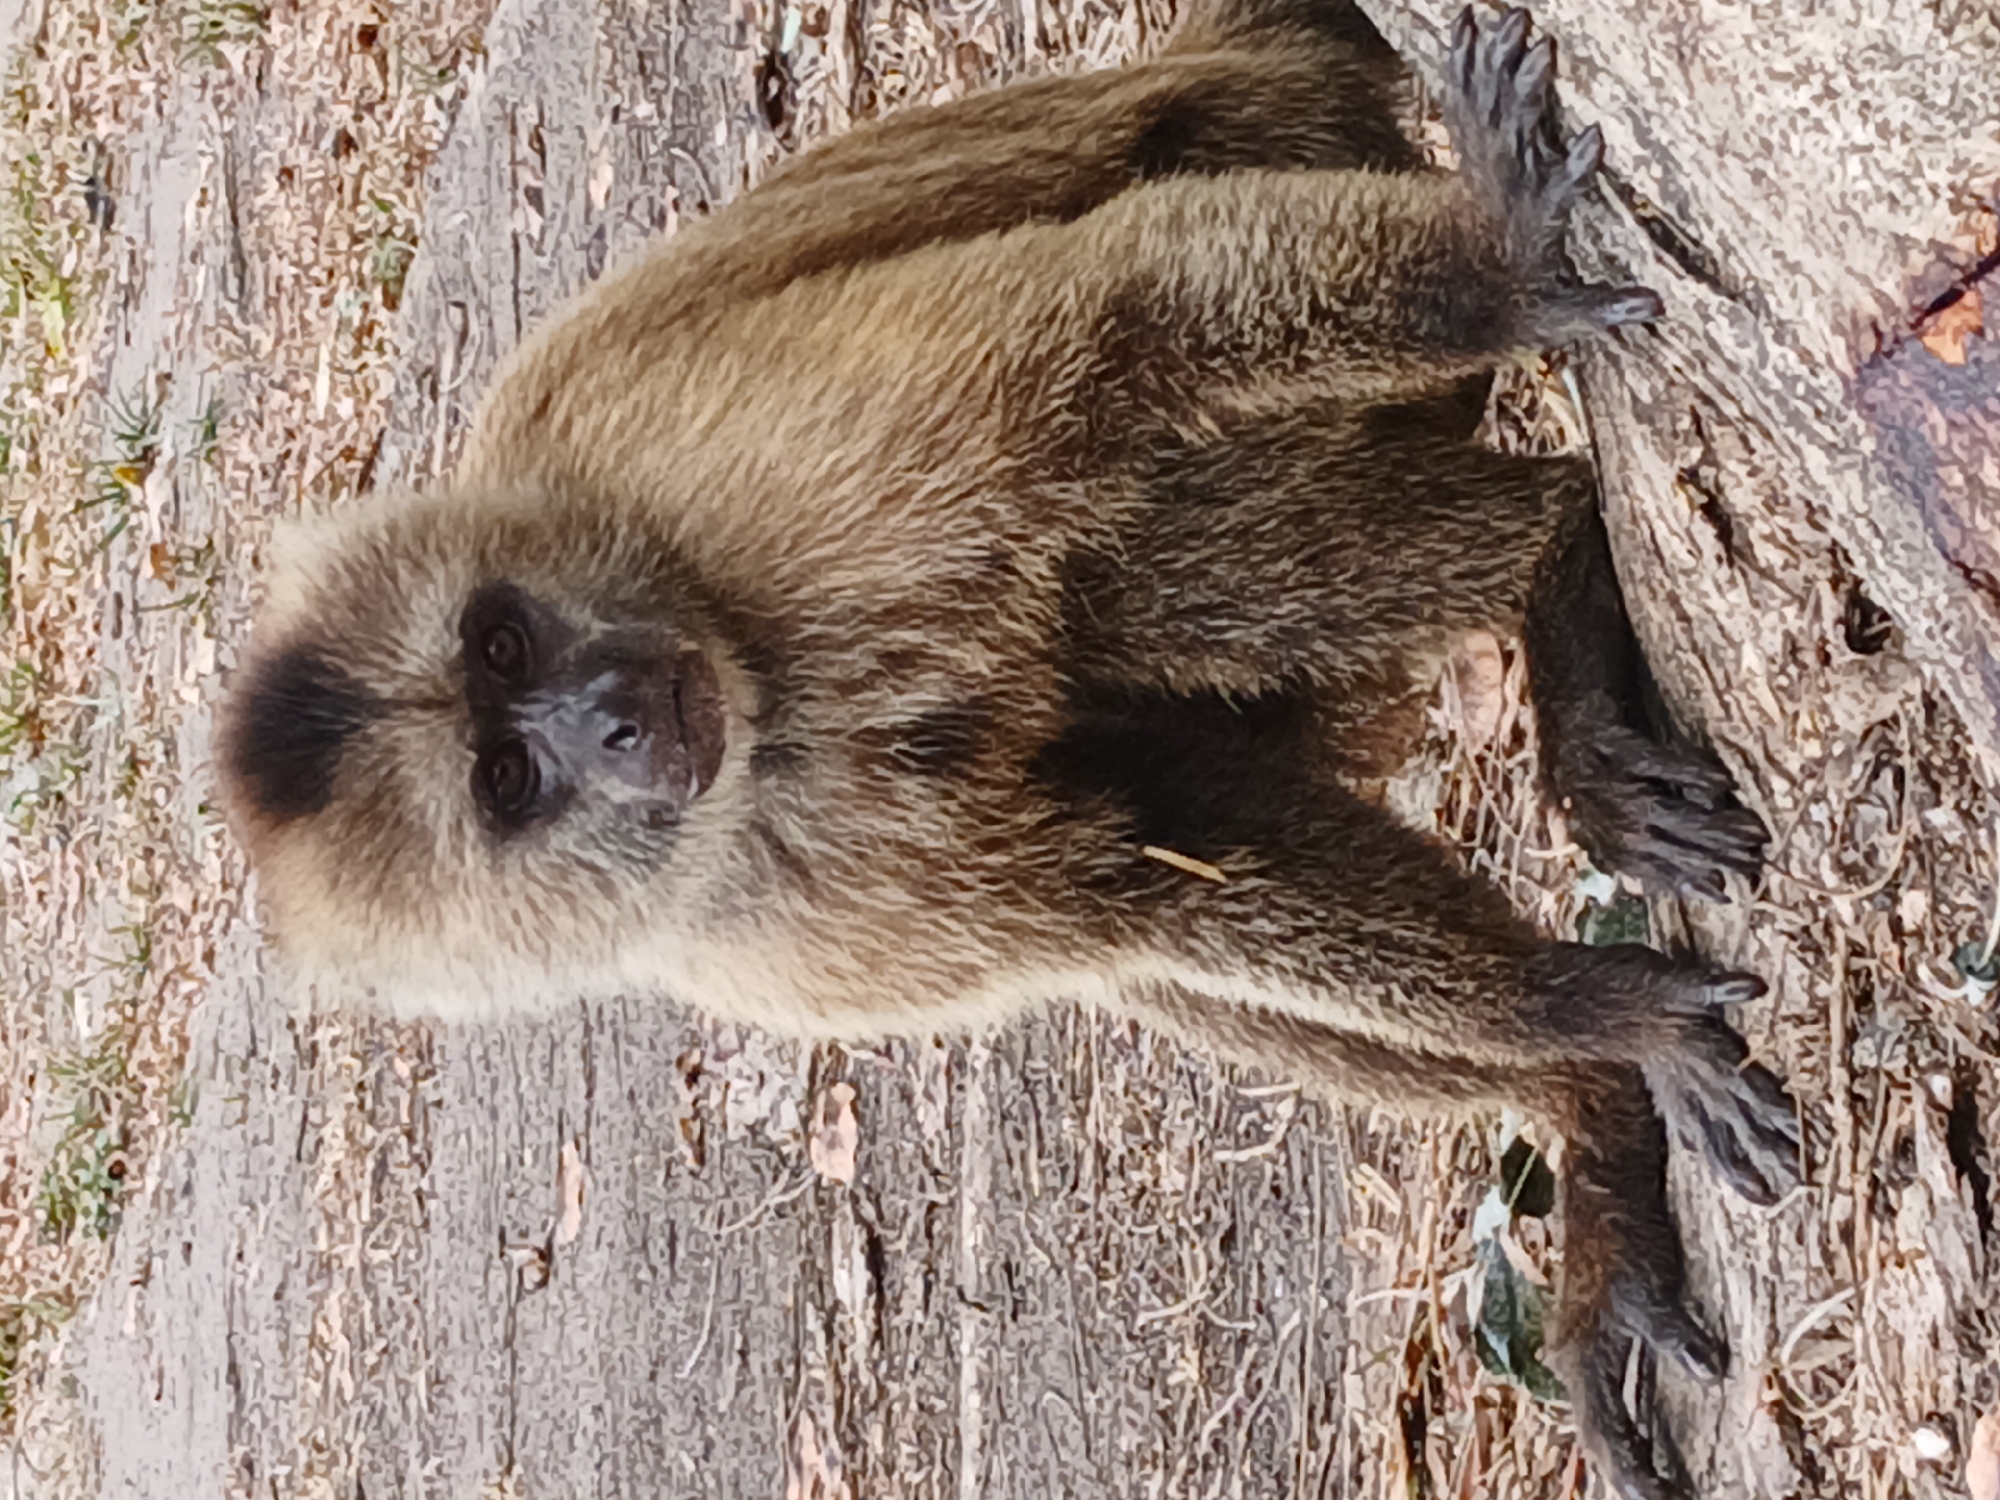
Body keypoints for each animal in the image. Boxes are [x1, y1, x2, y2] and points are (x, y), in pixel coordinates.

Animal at [217, 5, 1799, 1495]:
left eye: (502, 645)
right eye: (508, 780)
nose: (604, 714)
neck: (764, 690)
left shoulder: (755, 491)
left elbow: (1110, 320)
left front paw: (1504, 261)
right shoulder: (759, 917)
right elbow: (1158, 879)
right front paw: (1580, 1019)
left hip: (1267, 121)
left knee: (1113, 520)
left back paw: (1549, 552)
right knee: (1149, 846)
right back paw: (1583, 1101)